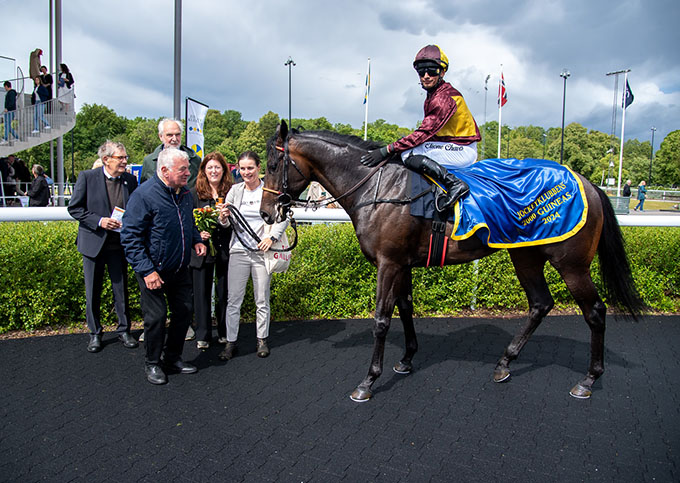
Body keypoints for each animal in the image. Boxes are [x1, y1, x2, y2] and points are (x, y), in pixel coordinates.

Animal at [258, 123, 644, 402]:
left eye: (273, 165)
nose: (264, 213)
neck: (378, 188)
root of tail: (588, 183)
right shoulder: (403, 262)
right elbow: (406, 307)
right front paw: (407, 359)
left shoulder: (389, 262)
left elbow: (382, 319)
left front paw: (368, 381)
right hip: (525, 254)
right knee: (540, 303)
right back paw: (505, 362)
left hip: (571, 263)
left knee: (594, 310)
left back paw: (588, 379)